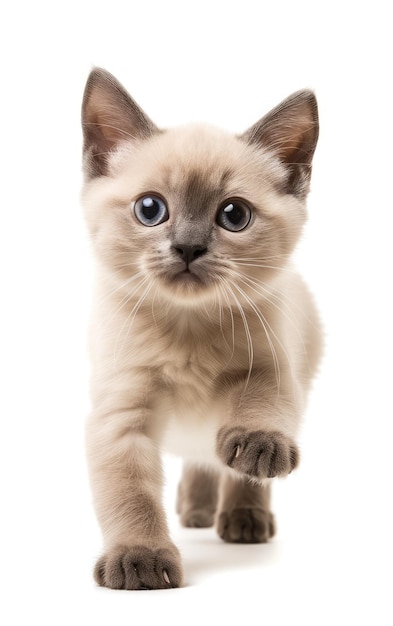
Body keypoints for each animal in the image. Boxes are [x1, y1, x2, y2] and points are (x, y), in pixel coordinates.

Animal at [81, 68, 320, 588]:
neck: (187, 327)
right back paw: (195, 510)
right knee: (200, 460)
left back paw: (244, 518)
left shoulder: (273, 366)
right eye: (150, 209)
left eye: (234, 215)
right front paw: (141, 558)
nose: (188, 248)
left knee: (231, 467)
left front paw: (258, 446)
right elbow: (131, 496)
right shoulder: (121, 416)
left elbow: (260, 404)